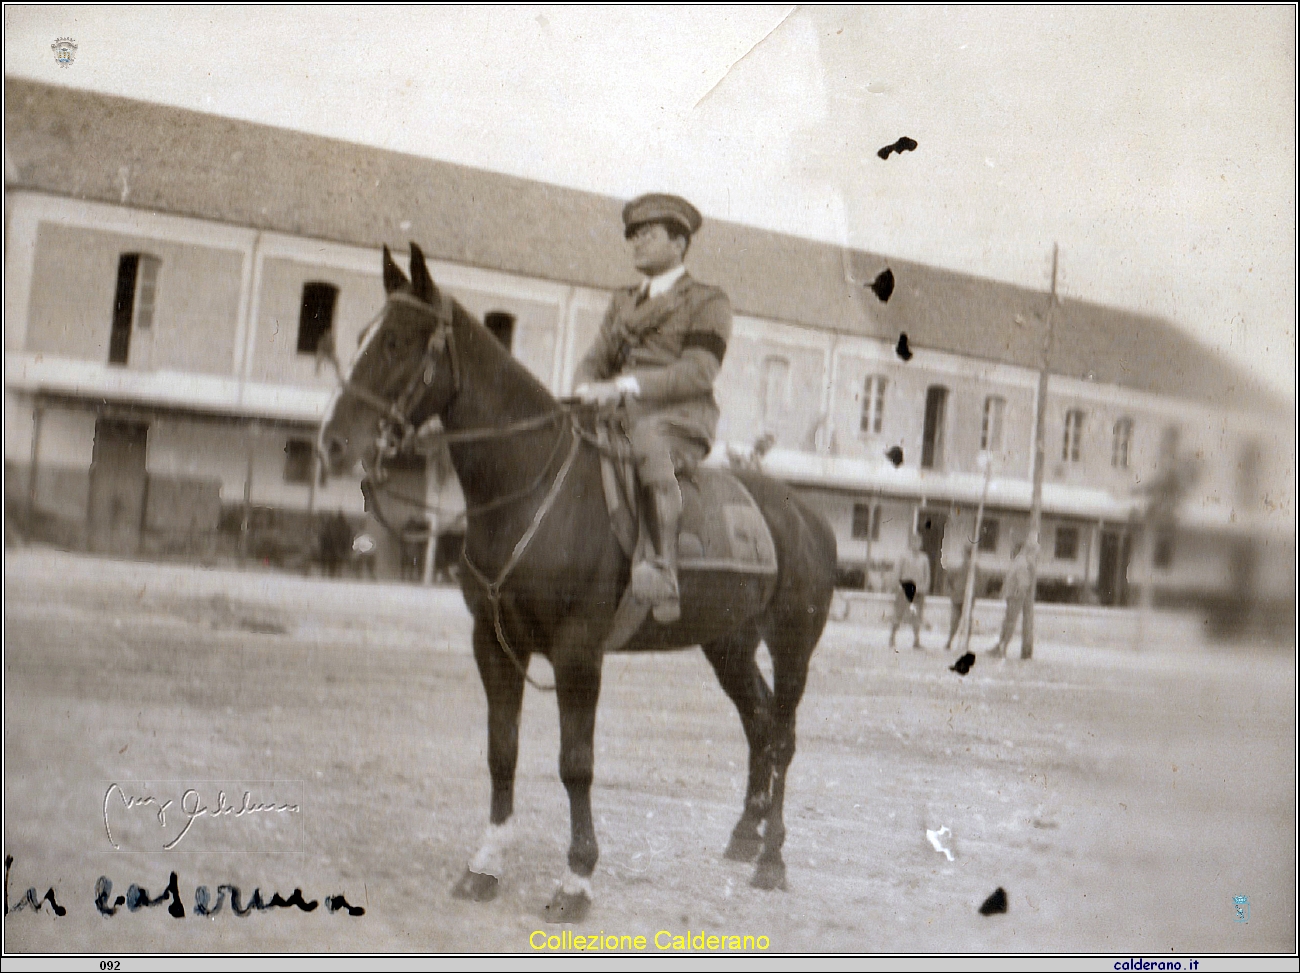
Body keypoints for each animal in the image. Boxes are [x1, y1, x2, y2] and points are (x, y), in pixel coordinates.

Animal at [319, 244, 837, 920]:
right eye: (361, 337)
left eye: (398, 343)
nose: (333, 444)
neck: (530, 487)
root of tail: (807, 515)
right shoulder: (494, 645)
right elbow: (502, 750)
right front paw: (486, 863)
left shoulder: (577, 651)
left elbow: (576, 763)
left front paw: (577, 878)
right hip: (728, 644)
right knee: (759, 724)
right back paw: (744, 838)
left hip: (792, 645)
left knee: (783, 736)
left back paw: (772, 857)